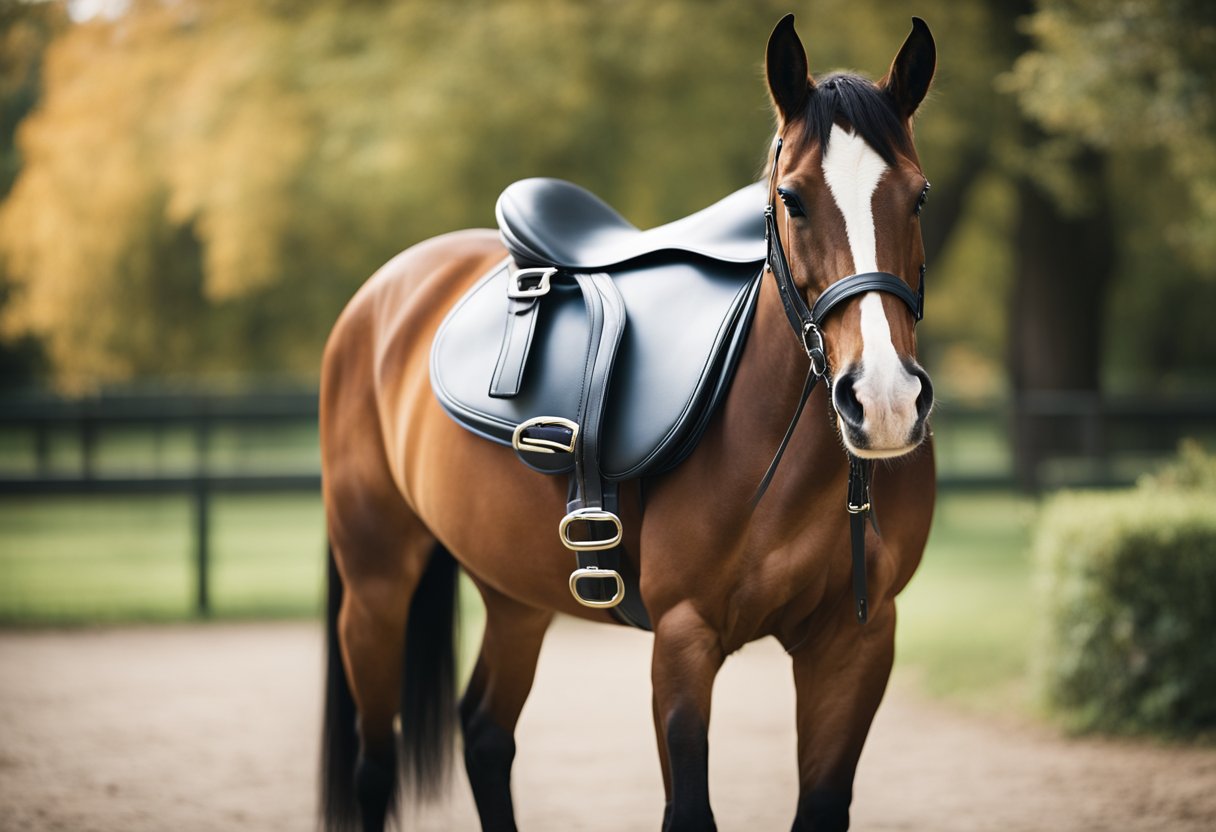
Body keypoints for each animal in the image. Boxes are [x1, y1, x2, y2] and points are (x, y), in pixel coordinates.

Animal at [319, 13, 937, 832]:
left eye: (919, 197)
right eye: (795, 199)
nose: (885, 400)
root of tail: (381, 295)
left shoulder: (858, 642)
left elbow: (823, 805)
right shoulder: (683, 638)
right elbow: (689, 809)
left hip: (514, 596)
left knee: (484, 734)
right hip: (376, 583)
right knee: (374, 763)